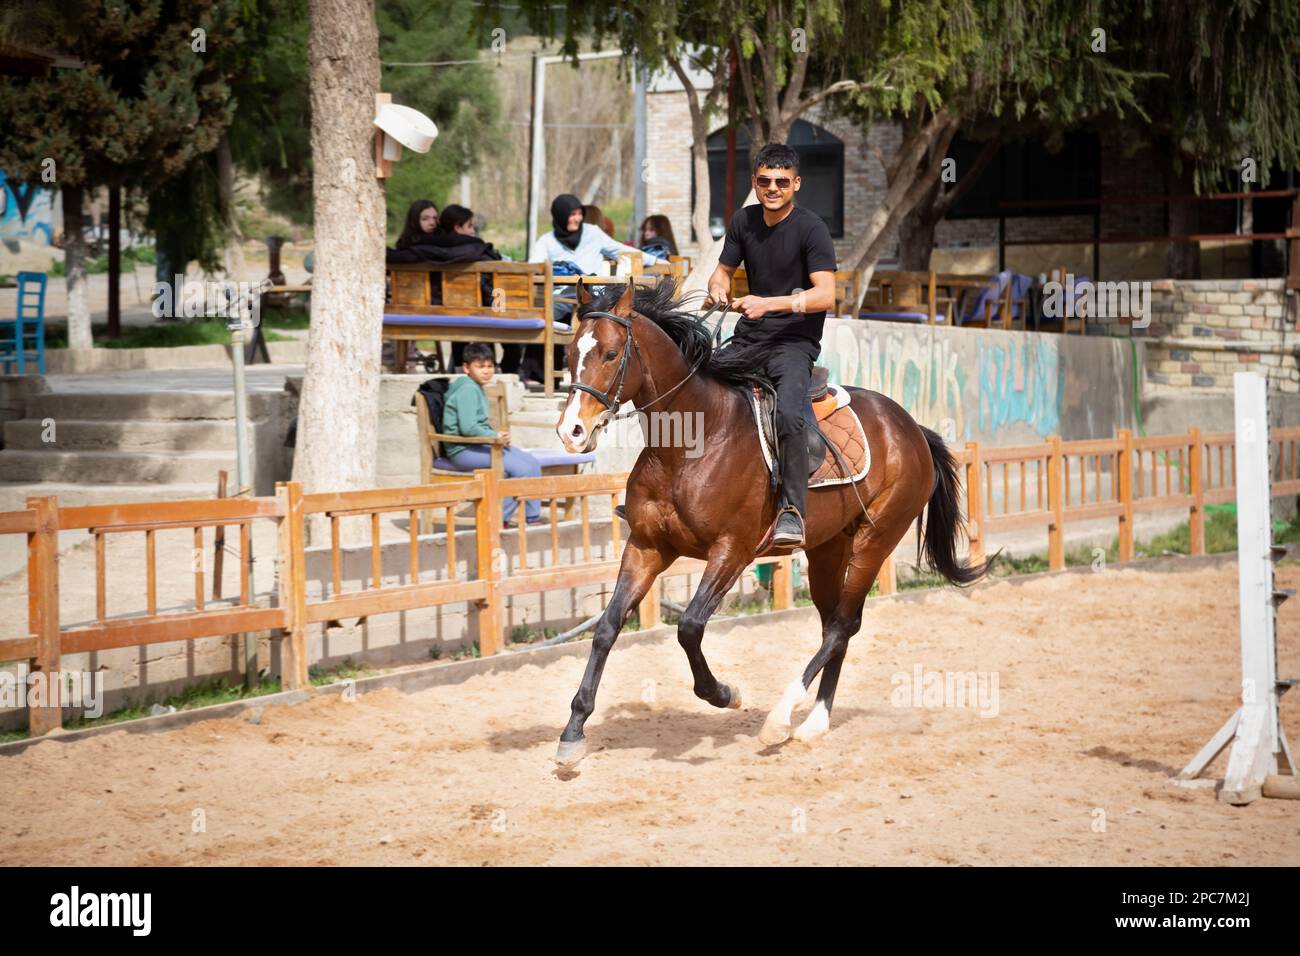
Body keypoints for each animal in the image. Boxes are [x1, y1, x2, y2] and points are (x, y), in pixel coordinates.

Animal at [551, 277, 990, 767]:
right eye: (569, 353)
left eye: (611, 354)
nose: (570, 432)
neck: (692, 443)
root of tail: (912, 428)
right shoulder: (647, 547)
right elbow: (607, 628)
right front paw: (573, 731)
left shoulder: (732, 551)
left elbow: (689, 628)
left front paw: (724, 693)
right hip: (828, 548)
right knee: (835, 625)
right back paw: (815, 721)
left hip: (874, 540)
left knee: (843, 625)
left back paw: (782, 717)